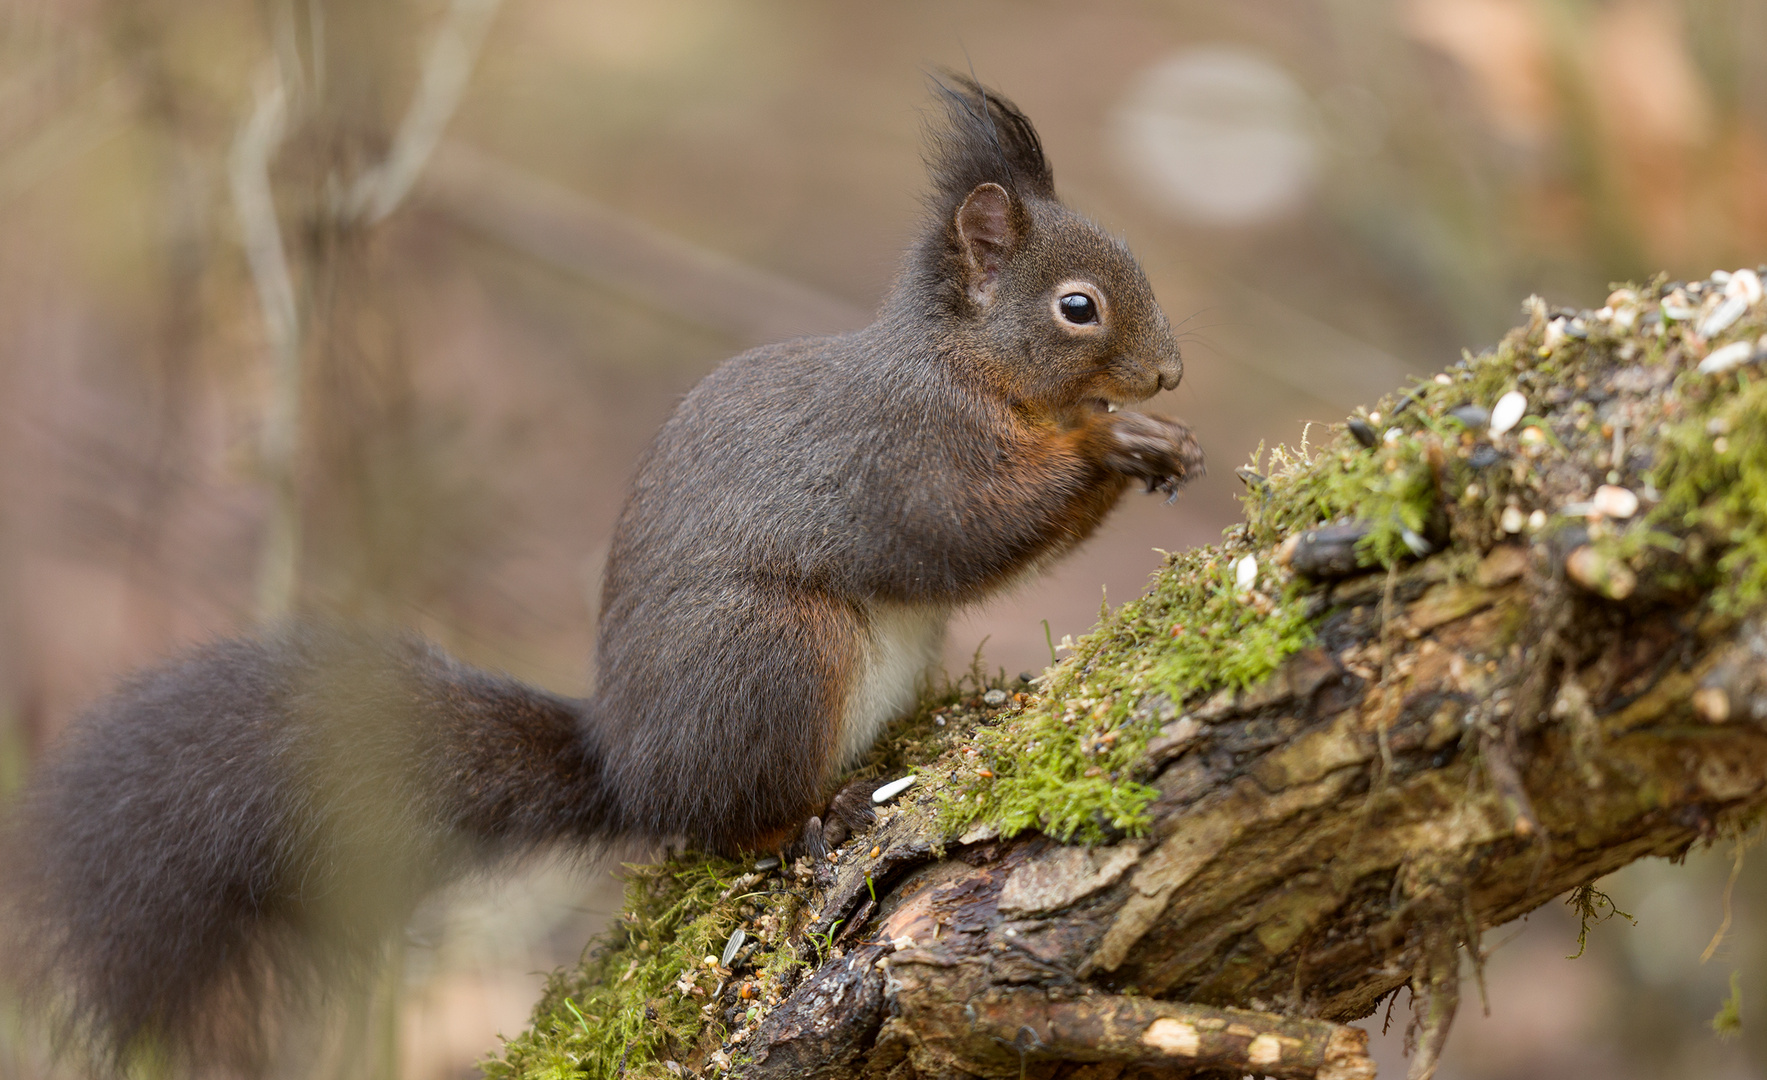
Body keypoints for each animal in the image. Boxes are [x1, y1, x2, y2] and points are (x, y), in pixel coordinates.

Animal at [0, 76, 1201, 1074]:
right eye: (1078, 306)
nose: (1170, 372)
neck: (966, 365)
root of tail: (630, 768)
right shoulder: (904, 456)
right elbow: (969, 534)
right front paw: (1111, 439)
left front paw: (1155, 442)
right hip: (771, 655)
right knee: (735, 819)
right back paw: (817, 813)